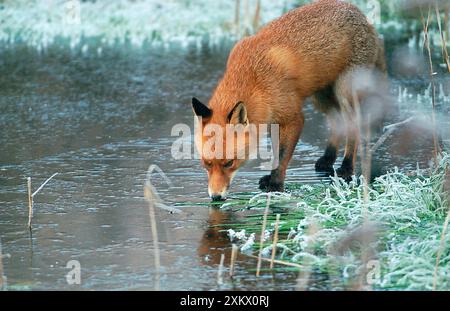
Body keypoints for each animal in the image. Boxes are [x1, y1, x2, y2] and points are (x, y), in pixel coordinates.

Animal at [192, 0, 384, 202]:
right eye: (206, 164)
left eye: (229, 163)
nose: (215, 197)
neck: (254, 79)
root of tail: (361, 13)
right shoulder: (273, 118)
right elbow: (276, 153)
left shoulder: (293, 118)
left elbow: (282, 156)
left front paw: (275, 184)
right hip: (321, 97)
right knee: (337, 121)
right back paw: (327, 159)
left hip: (344, 92)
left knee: (353, 125)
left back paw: (346, 168)